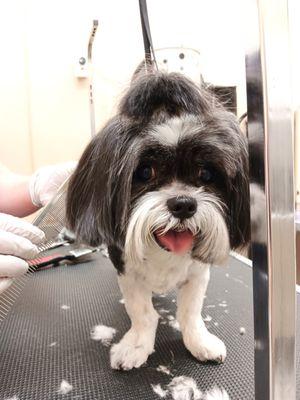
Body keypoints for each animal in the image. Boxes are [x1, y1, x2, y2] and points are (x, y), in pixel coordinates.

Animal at [67, 70, 250, 370]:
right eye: (145, 171)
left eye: (205, 174)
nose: (183, 204)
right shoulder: (127, 271)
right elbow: (142, 312)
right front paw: (135, 346)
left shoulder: (197, 274)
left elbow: (190, 311)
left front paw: (199, 341)